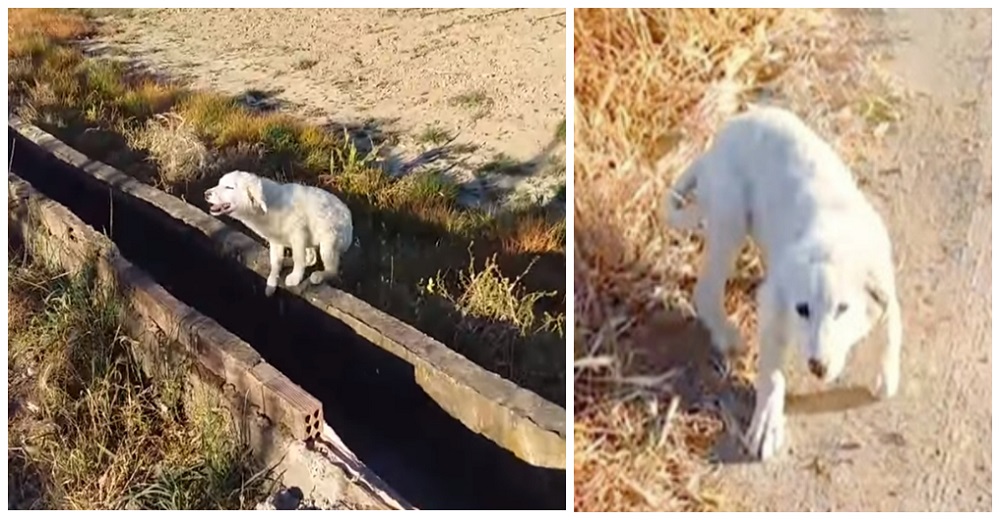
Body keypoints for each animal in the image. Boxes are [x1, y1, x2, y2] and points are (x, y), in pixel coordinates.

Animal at [205, 171, 354, 296]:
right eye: (219, 183)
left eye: (229, 187)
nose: (206, 194)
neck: (266, 207)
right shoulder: (275, 239)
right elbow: (276, 261)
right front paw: (272, 281)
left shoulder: (298, 233)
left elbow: (298, 259)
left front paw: (295, 278)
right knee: (311, 258)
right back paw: (288, 261)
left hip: (329, 241)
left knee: (332, 270)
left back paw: (319, 275)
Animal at [668, 105, 904, 460]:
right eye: (802, 310)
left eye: (843, 309)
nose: (817, 367)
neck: (833, 246)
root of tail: (716, 145)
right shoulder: (775, 305)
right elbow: (772, 375)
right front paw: (767, 423)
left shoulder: (883, 279)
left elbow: (892, 327)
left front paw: (886, 374)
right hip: (730, 217)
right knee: (706, 289)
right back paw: (727, 336)